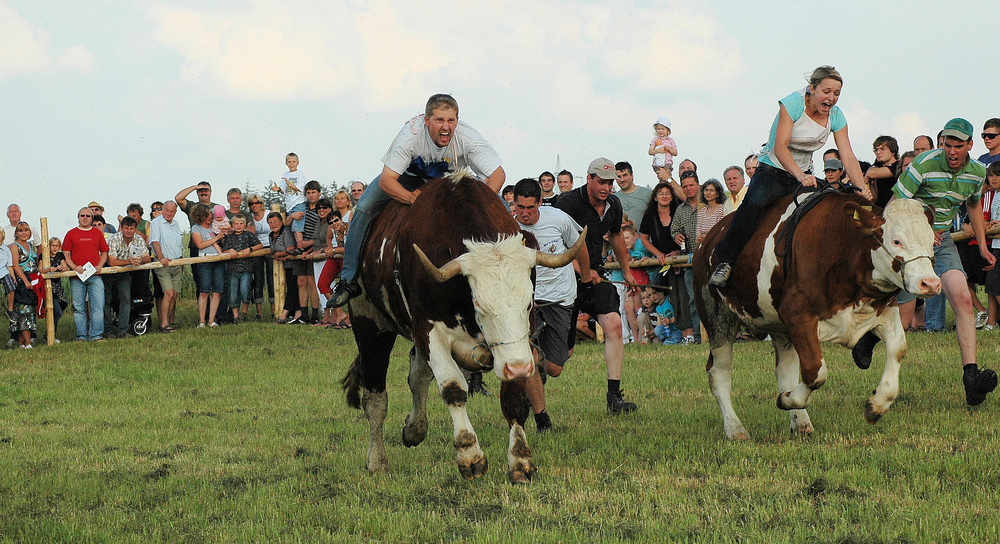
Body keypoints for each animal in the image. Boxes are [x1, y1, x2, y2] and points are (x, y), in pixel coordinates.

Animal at [342, 169, 584, 480]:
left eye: (529, 304)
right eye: (480, 305)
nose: (518, 367)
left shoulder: (518, 348)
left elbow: (515, 397)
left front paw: (520, 460)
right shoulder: (428, 330)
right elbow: (453, 388)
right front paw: (470, 454)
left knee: (417, 376)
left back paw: (414, 429)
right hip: (369, 323)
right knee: (375, 399)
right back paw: (376, 460)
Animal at [696, 196, 936, 438]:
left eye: (932, 242)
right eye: (896, 241)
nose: (930, 283)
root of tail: (708, 239)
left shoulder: (883, 312)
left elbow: (898, 349)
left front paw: (876, 405)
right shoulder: (797, 315)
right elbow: (815, 371)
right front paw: (786, 400)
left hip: (780, 329)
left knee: (785, 370)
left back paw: (800, 422)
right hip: (718, 318)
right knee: (719, 373)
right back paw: (735, 428)